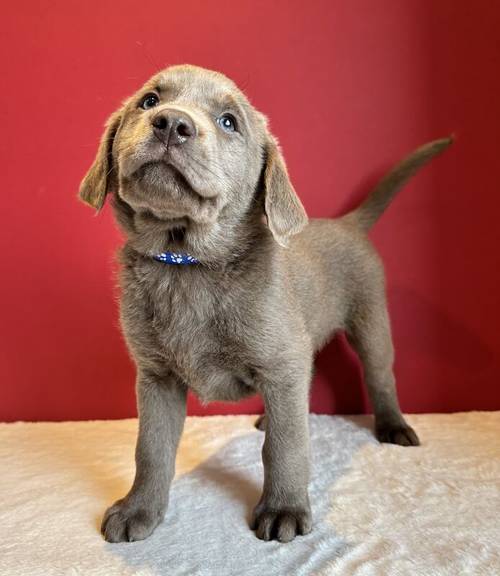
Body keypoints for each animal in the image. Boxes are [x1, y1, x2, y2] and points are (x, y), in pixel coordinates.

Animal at [80, 64, 452, 544]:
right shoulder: (156, 377)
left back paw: (393, 426)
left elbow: (285, 446)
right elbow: (151, 448)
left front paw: (283, 508)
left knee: (378, 376)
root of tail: (348, 224)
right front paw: (139, 510)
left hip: (370, 323)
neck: (188, 264)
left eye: (228, 122)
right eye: (149, 101)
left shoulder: (283, 364)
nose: (171, 123)